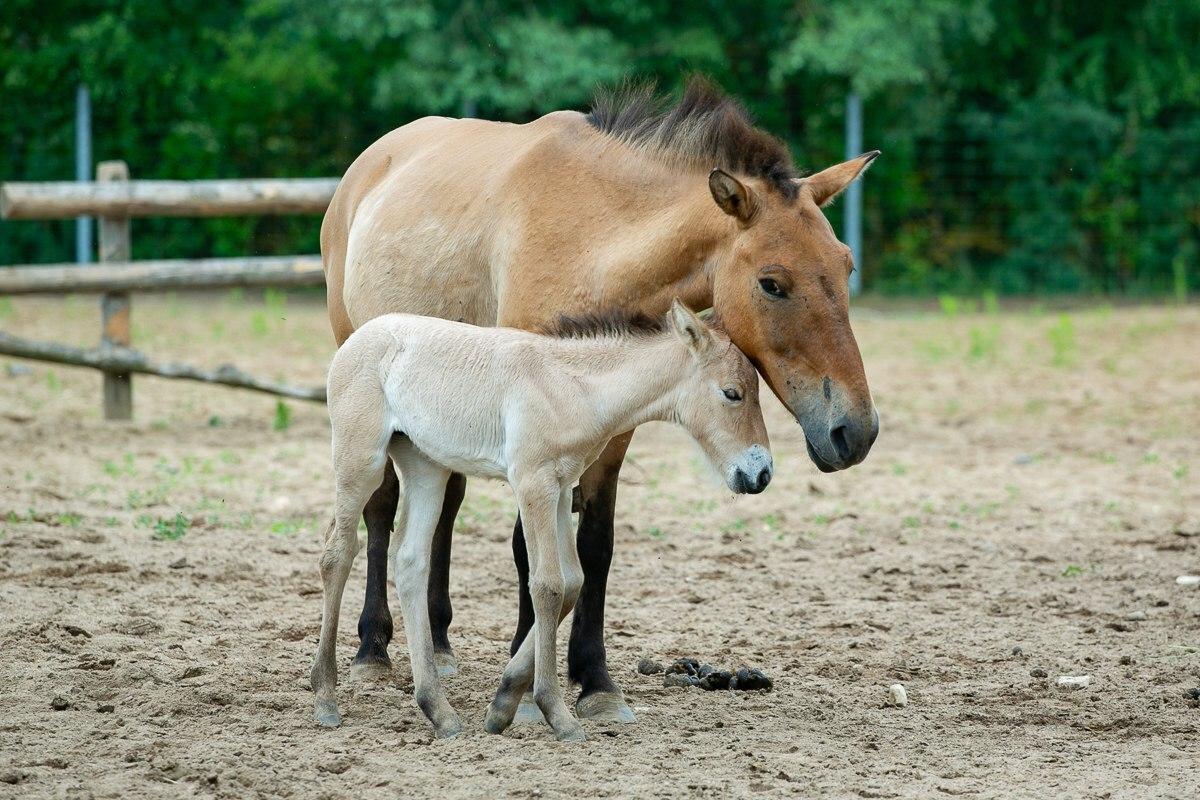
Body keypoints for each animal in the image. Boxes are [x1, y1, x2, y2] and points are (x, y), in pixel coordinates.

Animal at [309, 302, 772, 743]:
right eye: (732, 393)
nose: (761, 474)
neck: (572, 387)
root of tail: (358, 337)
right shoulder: (534, 484)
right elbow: (547, 586)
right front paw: (556, 714)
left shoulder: (563, 488)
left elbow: (572, 583)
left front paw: (504, 702)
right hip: (360, 462)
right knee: (337, 553)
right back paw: (326, 698)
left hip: (426, 466)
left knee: (409, 561)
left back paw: (439, 712)